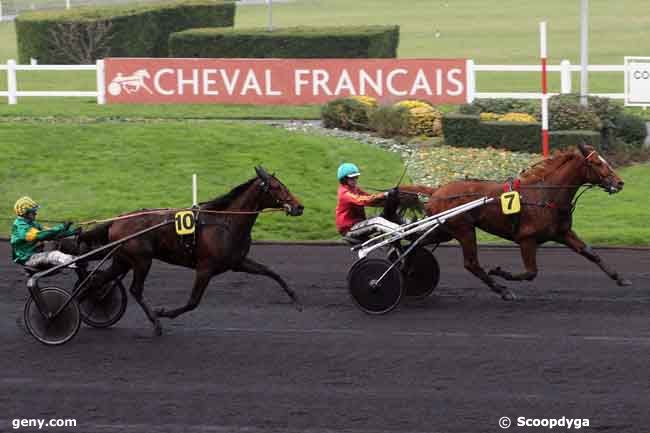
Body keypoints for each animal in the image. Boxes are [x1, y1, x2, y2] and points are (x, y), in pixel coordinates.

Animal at [78, 166, 304, 334]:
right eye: (276, 187)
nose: (299, 207)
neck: (226, 223)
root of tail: (116, 221)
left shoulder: (238, 262)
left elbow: (271, 272)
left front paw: (296, 300)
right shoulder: (205, 268)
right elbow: (193, 302)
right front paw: (163, 313)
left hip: (123, 260)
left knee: (97, 282)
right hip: (142, 260)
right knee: (135, 289)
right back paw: (155, 322)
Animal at [400, 143, 628, 298]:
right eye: (597, 163)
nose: (620, 182)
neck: (545, 196)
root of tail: (437, 190)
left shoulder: (562, 233)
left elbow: (590, 253)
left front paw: (620, 277)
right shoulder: (527, 239)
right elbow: (530, 272)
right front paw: (501, 273)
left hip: (444, 231)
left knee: (413, 244)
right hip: (464, 230)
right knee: (471, 263)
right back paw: (502, 290)